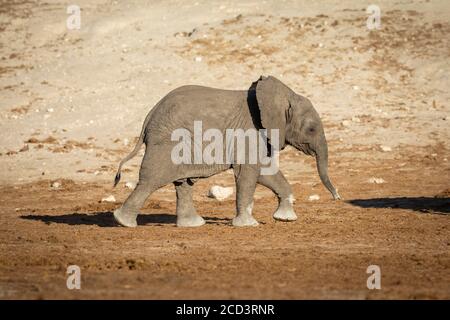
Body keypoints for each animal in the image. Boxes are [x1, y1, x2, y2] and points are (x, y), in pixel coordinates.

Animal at [113, 75, 342, 228]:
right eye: (311, 129)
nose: (337, 197)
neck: (282, 96)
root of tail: (149, 116)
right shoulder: (249, 132)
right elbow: (248, 174)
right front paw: (248, 225)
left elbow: (265, 173)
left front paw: (285, 218)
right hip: (167, 142)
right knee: (152, 180)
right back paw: (123, 222)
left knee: (183, 183)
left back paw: (193, 224)